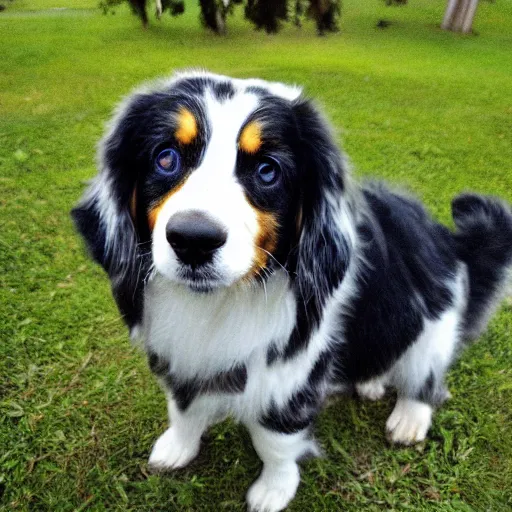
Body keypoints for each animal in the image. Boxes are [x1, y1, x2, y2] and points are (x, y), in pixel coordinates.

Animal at [72, 71, 512, 512]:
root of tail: (447, 238)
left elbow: (274, 442)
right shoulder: (176, 350)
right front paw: (177, 447)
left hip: (435, 323)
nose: (193, 240)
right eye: (165, 158)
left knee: (425, 374)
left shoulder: (290, 375)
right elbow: (183, 408)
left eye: (268, 170)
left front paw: (273, 489)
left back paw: (409, 417)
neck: (221, 302)